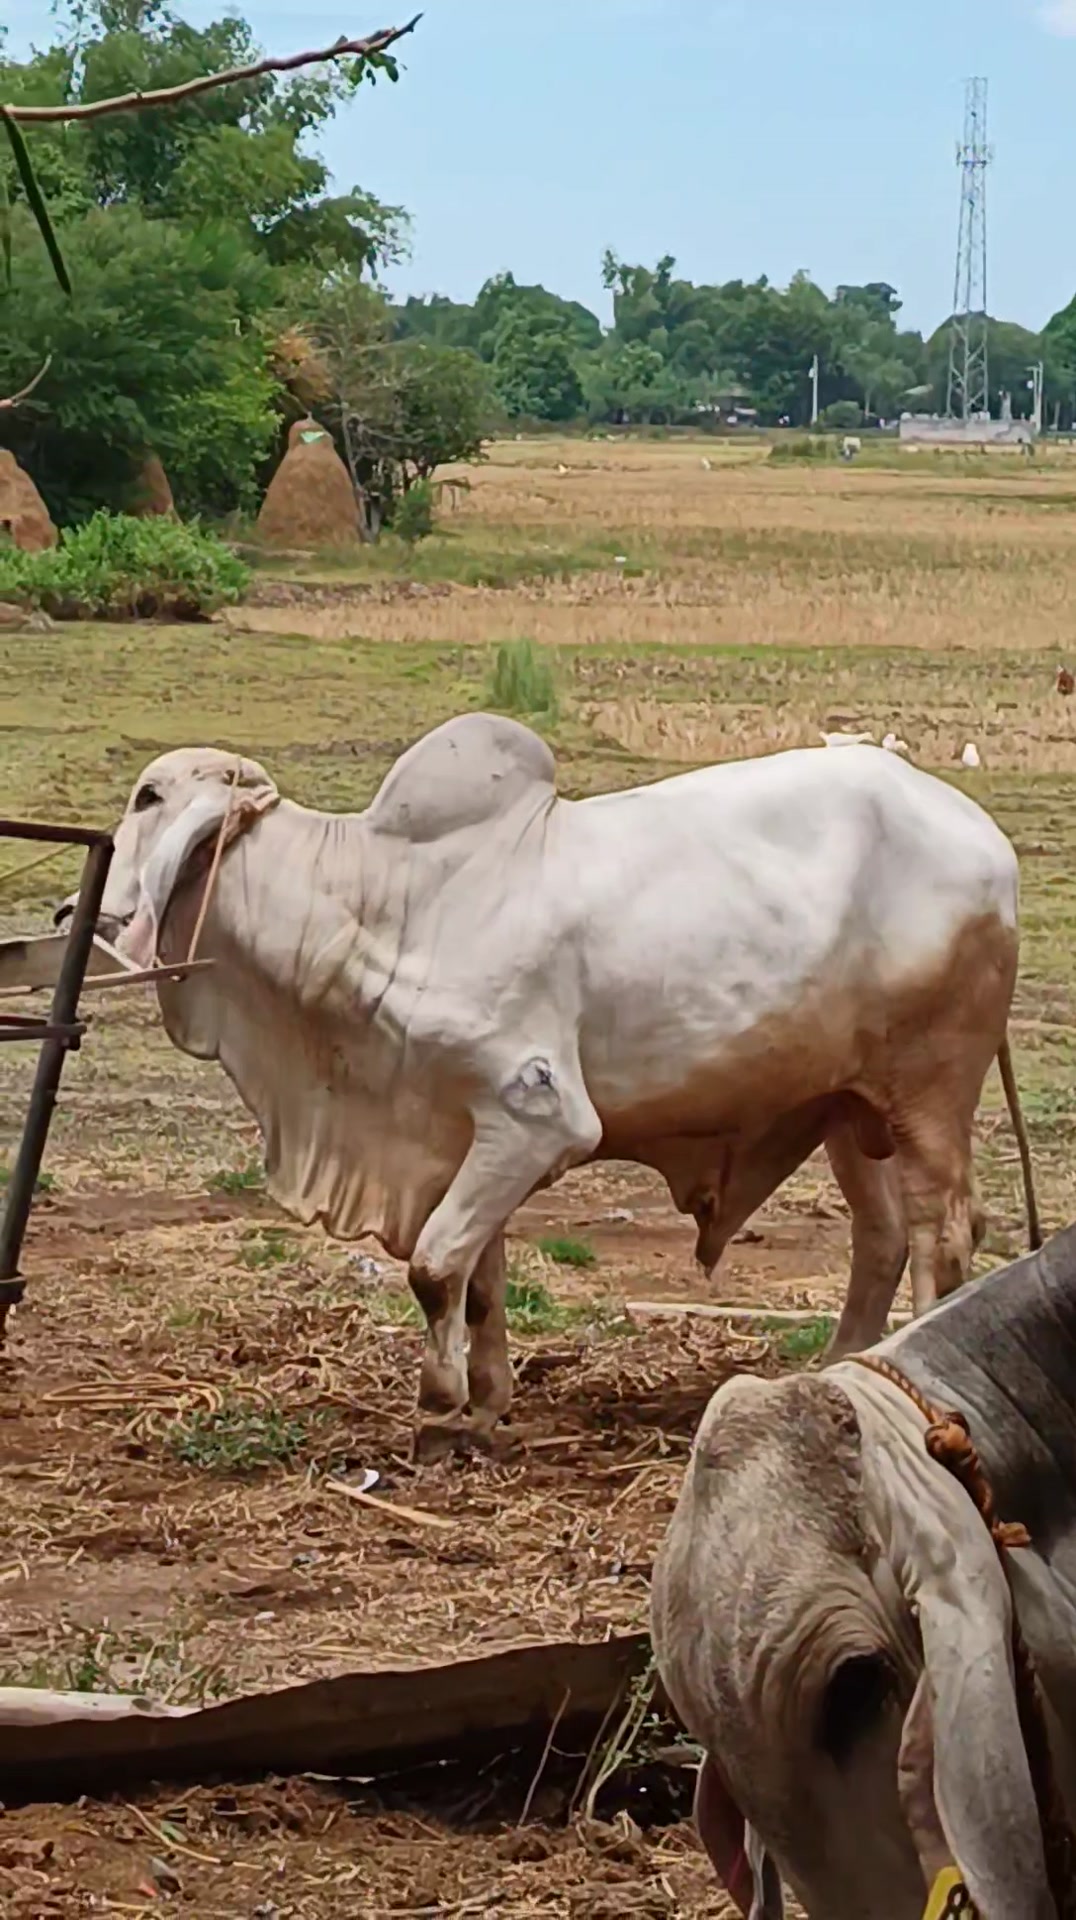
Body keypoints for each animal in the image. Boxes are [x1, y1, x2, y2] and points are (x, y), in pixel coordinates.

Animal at [55, 714, 1038, 1455]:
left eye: (150, 796)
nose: (73, 910)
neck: (386, 902)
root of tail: (989, 842)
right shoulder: (466, 1130)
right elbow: (475, 1277)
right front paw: (486, 1402)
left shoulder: (537, 1116)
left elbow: (433, 1264)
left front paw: (440, 1408)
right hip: (848, 1109)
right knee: (881, 1240)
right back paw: (835, 1369)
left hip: (931, 1089)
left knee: (943, 1235)